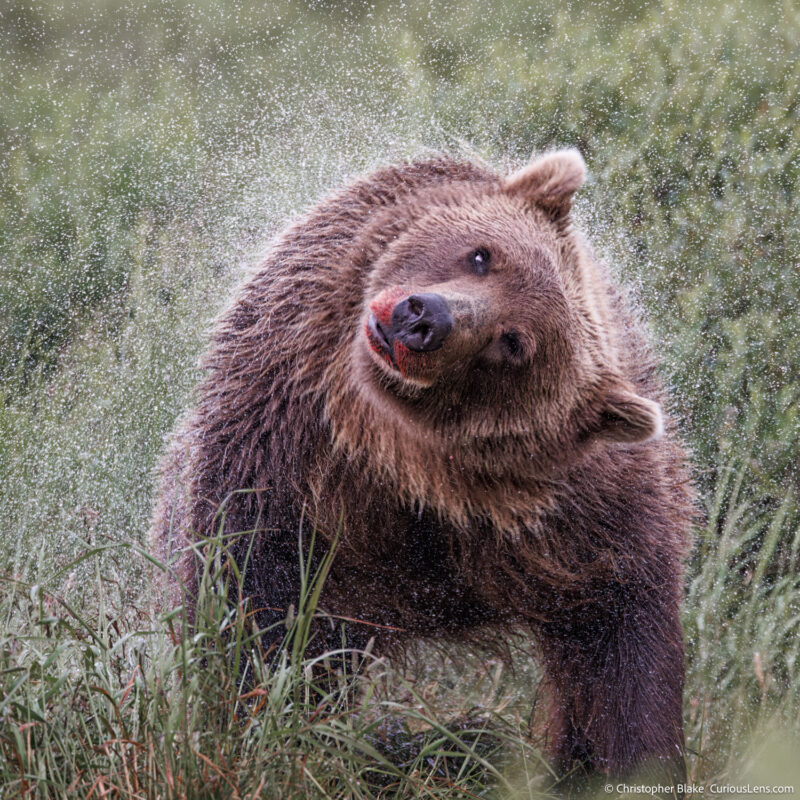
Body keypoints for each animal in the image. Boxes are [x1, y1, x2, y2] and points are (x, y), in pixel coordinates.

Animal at [148, 150, 692, 780]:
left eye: (513, 343)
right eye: (482, 254)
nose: (422, 318)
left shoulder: (589, 527)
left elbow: (623, 657)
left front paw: (631, 764)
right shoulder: (279, 444)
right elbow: (256, 599)